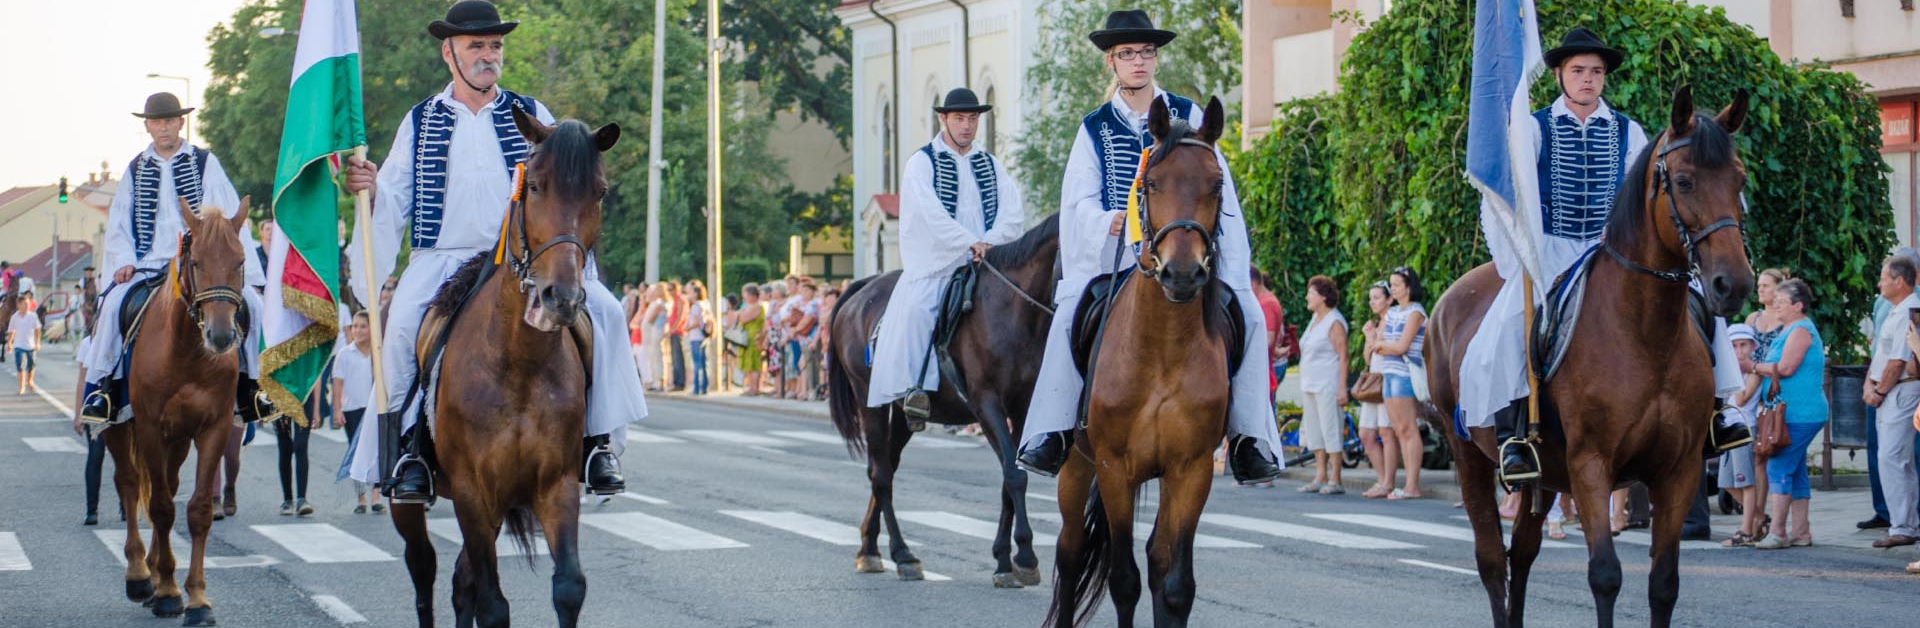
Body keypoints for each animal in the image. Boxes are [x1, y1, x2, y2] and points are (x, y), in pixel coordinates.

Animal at [103, 195, 253, 626]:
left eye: (240, 261)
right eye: (197, 262)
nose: (221, 335)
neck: (188, 352)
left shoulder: (212, 429)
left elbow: (196, 510)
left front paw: (197, 598)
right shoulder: (150, 428)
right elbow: (160, 507)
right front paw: (169, 592)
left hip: (179, 440)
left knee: (165, 485)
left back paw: (154, 574)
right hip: (120, 429)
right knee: (129, 483)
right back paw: (140, 575)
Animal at [825, 215, 1067, 591]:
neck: (1015, 313)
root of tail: (864, 287)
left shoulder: (1023, 408)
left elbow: (1008, 478)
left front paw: (1003, 560)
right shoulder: (987, 404)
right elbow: (1014, 476)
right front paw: (1025, 557)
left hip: (903, 416)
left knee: (885, 468)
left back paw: (869, 548)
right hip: (870, 403)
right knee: (880, 474)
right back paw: (902, 555)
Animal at [1052, 94, 1228, 628]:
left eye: (1217, 183)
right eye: (1150, 183)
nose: (1183, 273)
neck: (1163, 352)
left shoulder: (1192, 469)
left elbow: (1175, 584)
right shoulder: (1113, 466)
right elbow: (1123, 580)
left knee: (1156, 557)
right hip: (1076, 465)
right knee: (1070, 552)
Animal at [1428, 84, 1758, 628]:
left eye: (1739, 179)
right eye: (1684, 181)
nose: (1733, 286)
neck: (1645, 334)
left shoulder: (1679, 469)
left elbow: (1663, 583)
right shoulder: (1591, 465)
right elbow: (1605, 575)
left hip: (1544, 477)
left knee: (1522, 554)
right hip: (1468, 456)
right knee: (1493, 560)